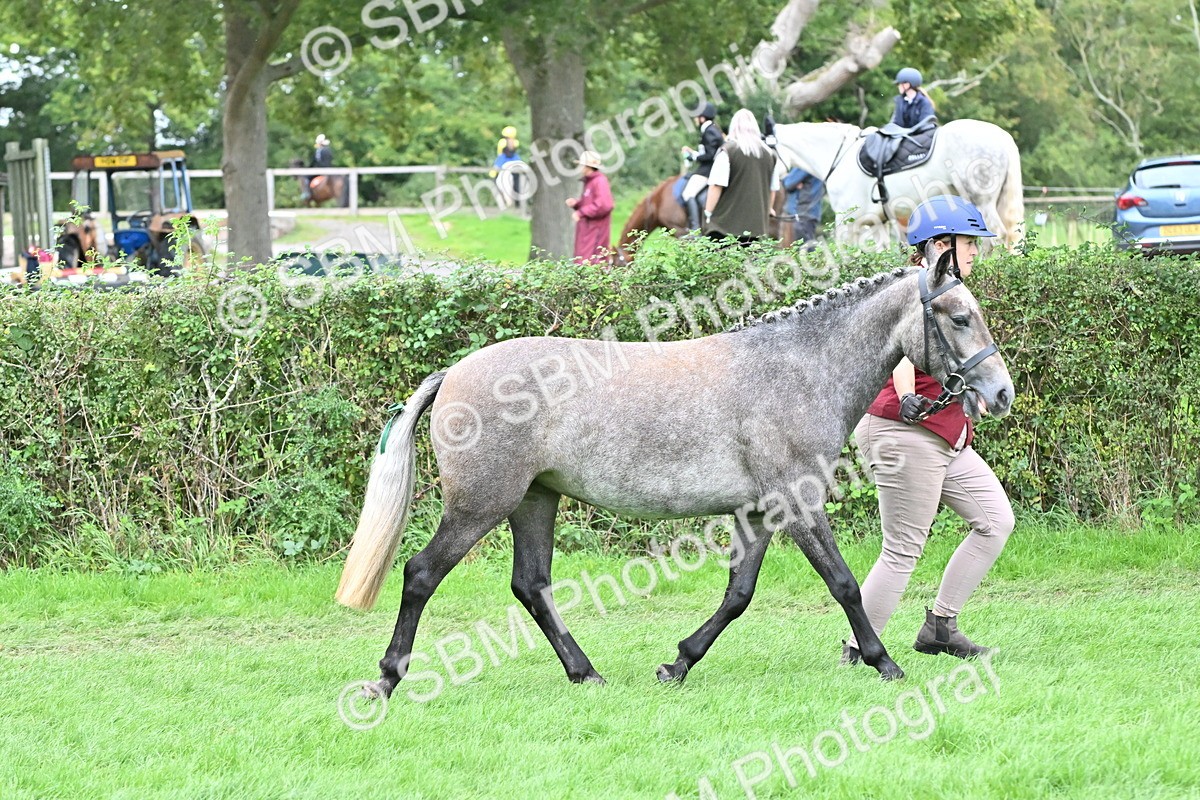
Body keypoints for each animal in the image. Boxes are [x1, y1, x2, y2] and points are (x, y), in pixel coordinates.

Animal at [335, 260, 1015, 699]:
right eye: (958, 317)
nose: (1000, 393)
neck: (796, 370)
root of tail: (452, 373)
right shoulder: (798, 503)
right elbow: (845, 585)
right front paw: (885, 664)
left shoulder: (759, 512)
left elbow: (738, 595)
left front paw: (678, 664)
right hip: (481, 505)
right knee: (422, 574)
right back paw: (387, 679)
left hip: (535, 500)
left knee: (531, 585)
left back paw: (586, 673)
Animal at [773, 121, 1025, 251]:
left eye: (770, 151)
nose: (777, 187)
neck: (840, 157)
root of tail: (1002, 137)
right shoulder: (877, 222)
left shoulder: (846, 222)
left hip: (982, 202)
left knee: (996, 237)